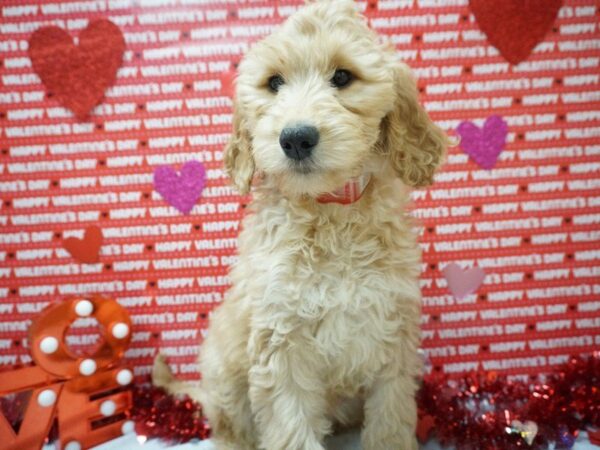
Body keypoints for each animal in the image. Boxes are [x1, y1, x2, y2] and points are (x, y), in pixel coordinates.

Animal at [152, 0, 448, 450]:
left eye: (343, 77)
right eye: (274, 83)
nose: (295, 138)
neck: (330, 213)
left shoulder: (393, 332)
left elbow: (391, 419)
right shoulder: (280, 341)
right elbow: (290, 425)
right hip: (223, 367)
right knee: (229, 428)